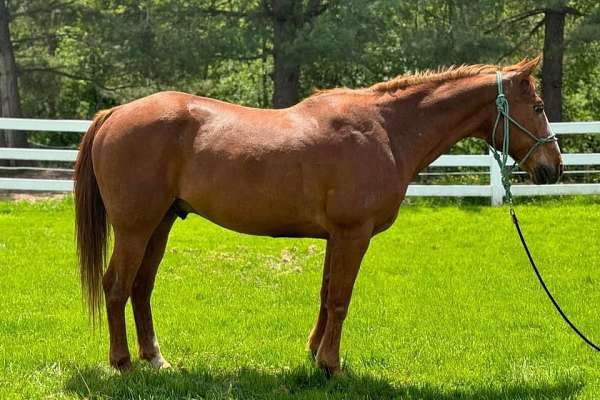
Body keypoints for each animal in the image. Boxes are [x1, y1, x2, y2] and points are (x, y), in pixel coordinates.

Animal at [74, 56, 564, 376]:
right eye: (539, 108)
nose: (553, 169)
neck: (387, 130)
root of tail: (115, 113)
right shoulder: (353, 234)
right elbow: (341, 299)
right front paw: (331, 366)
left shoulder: (335, 237)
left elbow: (327, 296)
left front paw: (313, 355)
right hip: (135, 228)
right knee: (116, 287)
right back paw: (122, 364)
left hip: (160, 224)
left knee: (141, 288)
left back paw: (155, 358)